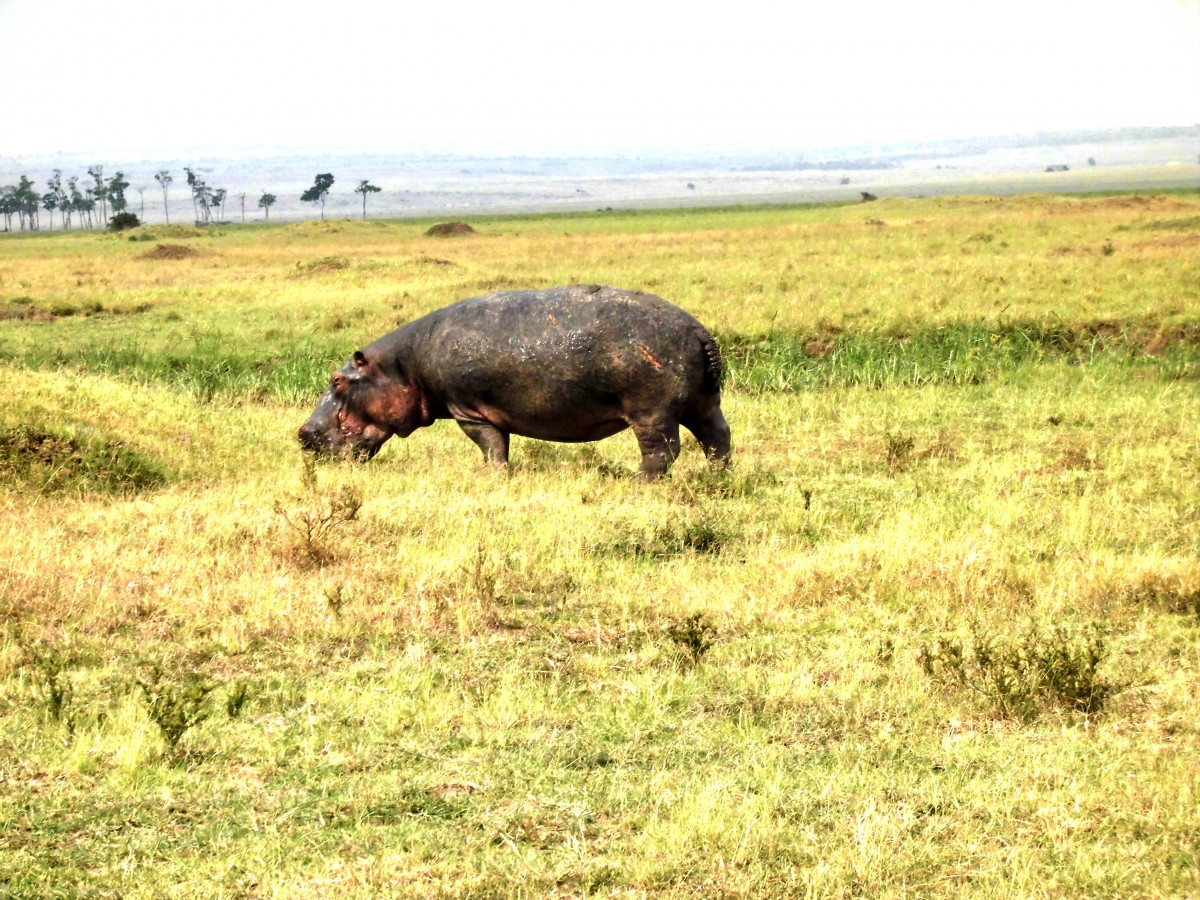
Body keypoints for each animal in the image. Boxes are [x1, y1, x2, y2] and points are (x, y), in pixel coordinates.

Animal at [300, 285, 729, 480]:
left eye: (337, 380)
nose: (303, 433)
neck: (404, 366)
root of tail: (698, 330)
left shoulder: (469, 410)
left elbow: (491, 445)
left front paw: (491, 475)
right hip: (702, 402)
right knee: (718, 437)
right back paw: (717, 475)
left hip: (652, 411)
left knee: (662, 450)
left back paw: (637, 482)